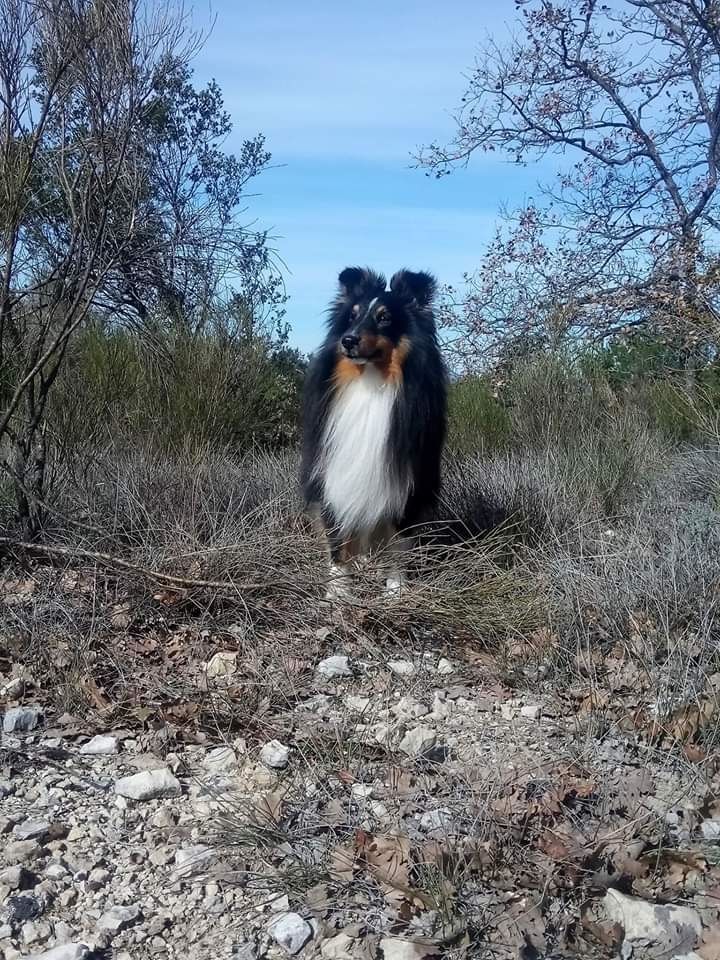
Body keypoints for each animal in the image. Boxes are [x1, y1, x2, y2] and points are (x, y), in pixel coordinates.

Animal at [300, 268, 448, 600]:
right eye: (352, 316)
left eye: (384, 317)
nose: (348, 340)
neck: (370, 380)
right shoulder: (333, 476)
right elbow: (337, 539)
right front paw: (338, 593)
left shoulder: (406, 482)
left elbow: (398, 541)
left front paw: (395, 590)